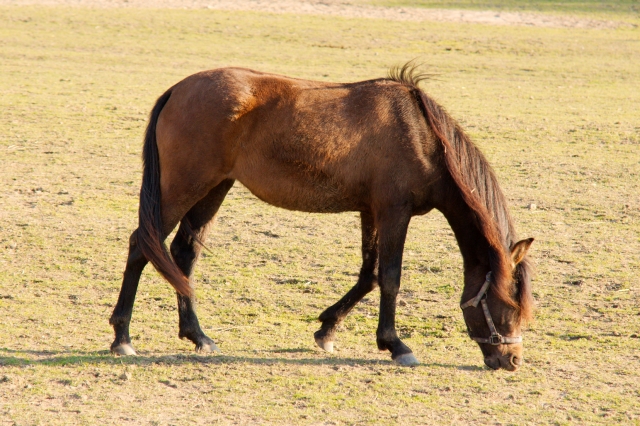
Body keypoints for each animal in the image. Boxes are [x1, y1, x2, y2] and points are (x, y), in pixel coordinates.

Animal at [110, 62, 536, 370]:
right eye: (508, 306)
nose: (511, 361)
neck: (421, 135)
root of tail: (177, 90)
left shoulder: (371, 211)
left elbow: (369, 275)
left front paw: (327, 330)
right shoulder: (394, 212)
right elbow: (390, 278)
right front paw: (396, 344)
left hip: (213, 189)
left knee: (183, 256)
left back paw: (197, 336)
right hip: (183, 189)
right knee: (141, 246)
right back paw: (122, 338)